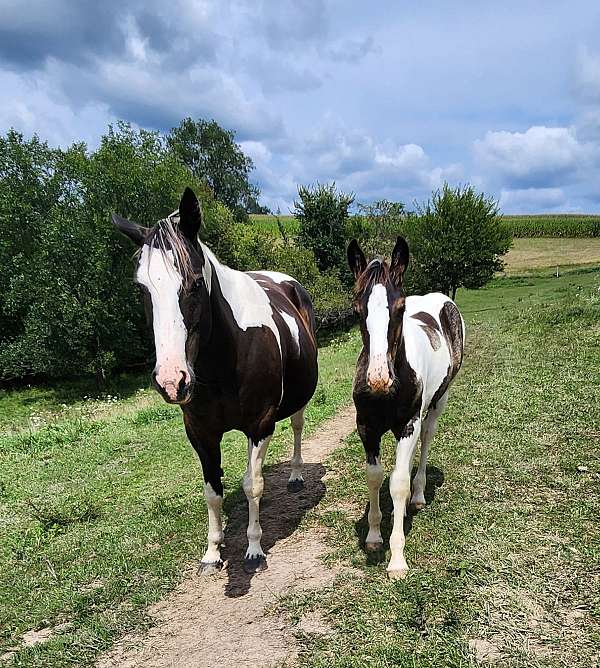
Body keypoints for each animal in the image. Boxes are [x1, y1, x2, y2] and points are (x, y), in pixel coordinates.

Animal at [112, 189, 318, 576]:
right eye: (141, 289)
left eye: (194, 283)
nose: (171, 380)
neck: (226, 355)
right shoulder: (200, 432)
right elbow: (212, 490)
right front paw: (212, 551)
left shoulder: (260, 424)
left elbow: (252, 484)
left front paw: (253, 548)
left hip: (297, 401)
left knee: (297, 426)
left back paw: (297, 475)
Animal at [346, 237, 464, 576]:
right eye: (357, 309)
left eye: (400, 308)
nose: (378, 379)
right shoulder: (366, 428)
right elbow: (374, 477)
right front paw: (374, 536)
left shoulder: (407, 425)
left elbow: (397, 483)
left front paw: (397, 558)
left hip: (436, 404)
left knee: (425, 441)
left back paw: (419, 494)